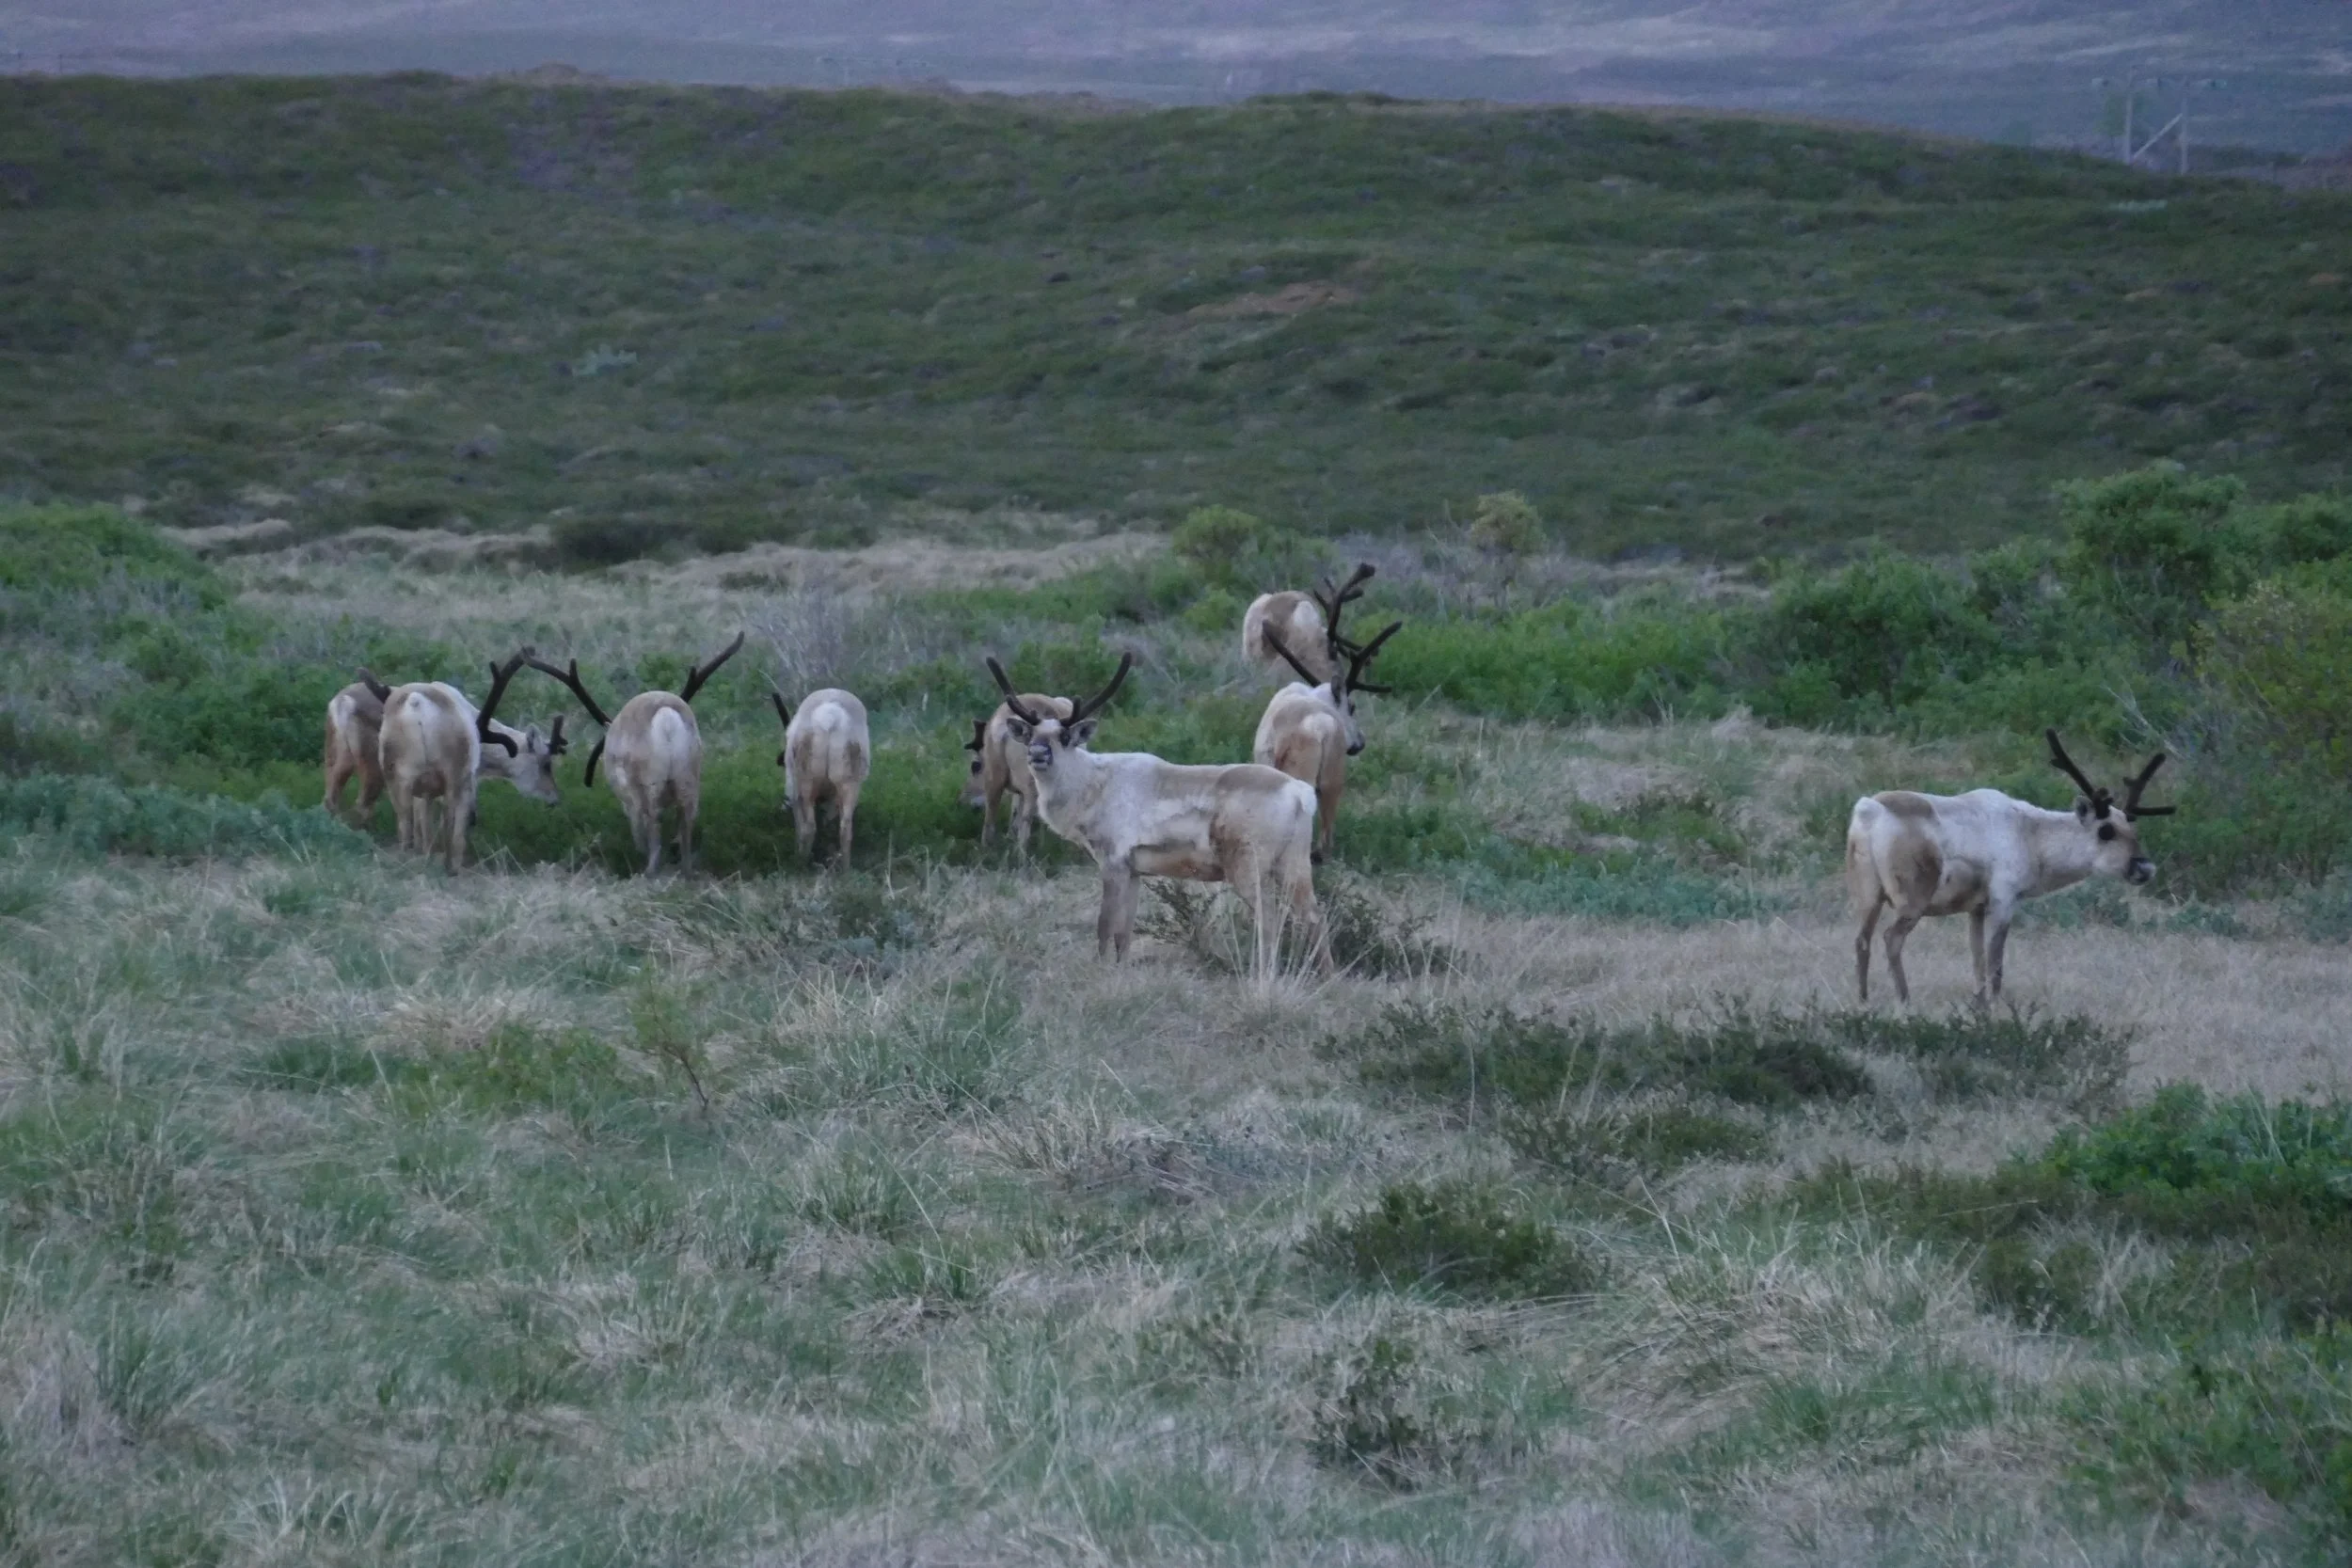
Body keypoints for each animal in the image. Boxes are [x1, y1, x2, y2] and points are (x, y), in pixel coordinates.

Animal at [376, 650, 569, 871]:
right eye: (546, 764)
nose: (555, 799)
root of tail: (416, 703)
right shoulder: (467, 782)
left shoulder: (425, 792)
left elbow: (424, 826)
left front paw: (425, 856)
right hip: (453, 777)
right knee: (452, 827)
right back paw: (450, 868)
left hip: (397, 778)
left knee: (405, 823)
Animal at [528, 634, 742, 874]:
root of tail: (665, 714)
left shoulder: (627, 797)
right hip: (689, 778)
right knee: (686, 819)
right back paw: (685, 869)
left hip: (647, 783)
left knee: (652, 819)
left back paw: (649, 869)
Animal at [771, 687, 870, 864]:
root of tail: (831, 716)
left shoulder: (795, 795)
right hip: (849, 786)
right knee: (845, 829)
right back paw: (844, 867)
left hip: (806, 785)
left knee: (809, 828)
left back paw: (800, 863)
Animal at [986, 653, 1330, 976]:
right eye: (1031, 736)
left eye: (1065, 737)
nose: (1038, 754)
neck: (1091, 786)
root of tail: (1301, 794)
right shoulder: (1135, 870)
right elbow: (1124, 934)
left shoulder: (1112, 861)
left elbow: (1103, 927)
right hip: (1295, 862)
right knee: (1314, 916)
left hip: (1247, 865)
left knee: (1270, 919)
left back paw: (1262, 975)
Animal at [1847, 728, 2175, 1008]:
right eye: (2106, 831)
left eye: (2132, 829)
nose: (2145, 867)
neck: (2032, 837)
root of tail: (1869, 811)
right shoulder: (2004, 898)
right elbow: (1996, 961)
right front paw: (1996, 1005)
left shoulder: (1976, 907)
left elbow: (1977, 957)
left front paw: (1979, 1005)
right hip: (1912, 897)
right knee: (1891, 938)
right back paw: (1904, 999)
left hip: (1868, 892)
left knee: (1862, 940)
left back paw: (1862, 999)